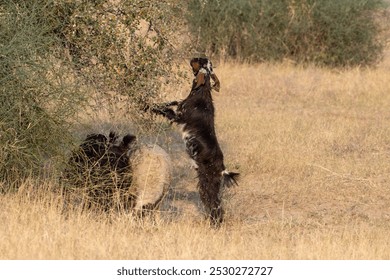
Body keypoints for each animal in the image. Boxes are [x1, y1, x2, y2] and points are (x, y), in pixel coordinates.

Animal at [152, 57, 239, 228]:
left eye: (199, 60)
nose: (193, 58)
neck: (201, 92)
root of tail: (222, 169)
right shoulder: (177, 105)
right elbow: (168, 102)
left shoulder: (178, 116)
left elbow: (163, 110)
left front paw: (147, 106)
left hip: (207, 183)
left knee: (215, 205)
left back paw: (214, 224)